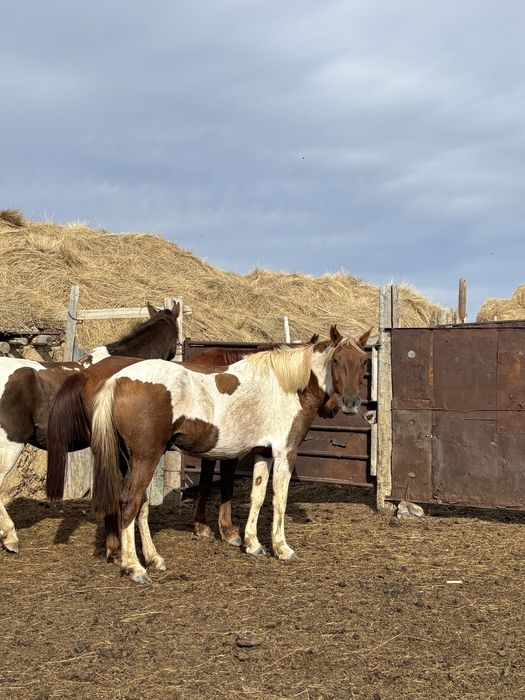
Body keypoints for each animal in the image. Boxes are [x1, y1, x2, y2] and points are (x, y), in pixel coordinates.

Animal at [89, 325, 371, 583]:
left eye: (363, 361)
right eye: (336, 360)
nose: (348, 404)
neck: (287, 386)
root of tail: (118, 380)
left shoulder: (264, 453)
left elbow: (257, 496)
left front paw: (253, 543)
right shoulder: (285, 452)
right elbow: (279, 499)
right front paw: (282, 548)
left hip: (136, 460)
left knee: (142, 505)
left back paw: (153, 558)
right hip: (146, 458)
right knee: (130, 502)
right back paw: (134, 567)